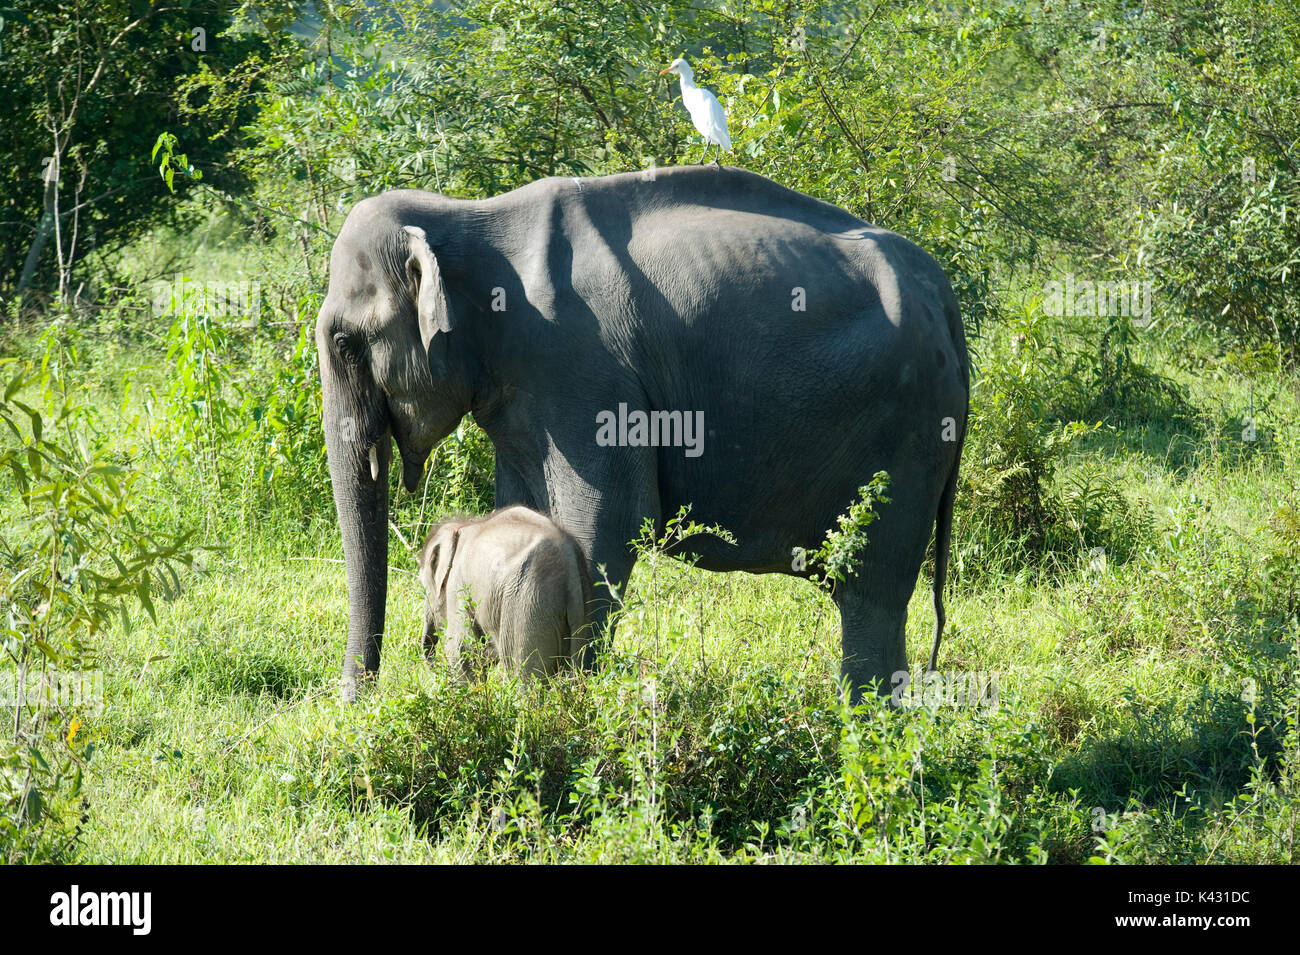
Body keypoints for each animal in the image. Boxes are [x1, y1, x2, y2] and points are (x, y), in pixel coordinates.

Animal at [416, 509, 595, 680]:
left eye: (423, 588)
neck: (462, 526)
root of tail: (570, 562)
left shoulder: (458, 586)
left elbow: (461, 651)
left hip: (528, 602)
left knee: (521, 672)